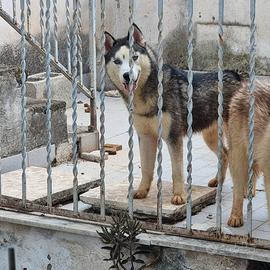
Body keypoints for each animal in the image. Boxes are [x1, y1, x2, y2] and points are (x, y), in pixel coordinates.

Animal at [104, 24, 243, 205]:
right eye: (117, 61)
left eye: (134, 57)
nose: (127, 76)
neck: (146, 95)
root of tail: (236, 75)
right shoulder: (146, 137)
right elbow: (146, 169)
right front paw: (142, 191)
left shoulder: (173, 137)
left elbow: (177, 170)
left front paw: (179, 196)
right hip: (210, 137)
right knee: (225, 154)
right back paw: (217, 181)